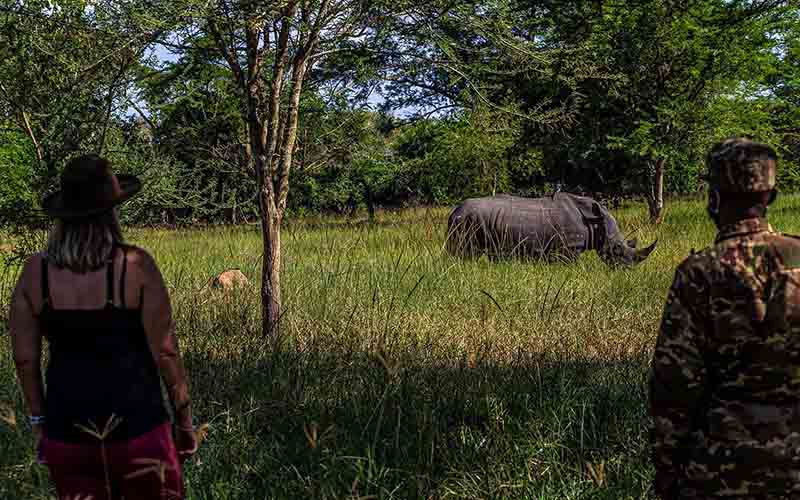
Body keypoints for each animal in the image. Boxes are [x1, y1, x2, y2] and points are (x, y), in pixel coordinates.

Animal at [446, 192, 656, 267]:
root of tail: (454, 211)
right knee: (466, 253)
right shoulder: (570, 247)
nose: (627, 270)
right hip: (467, 222)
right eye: (617, 249)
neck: (597, 222)